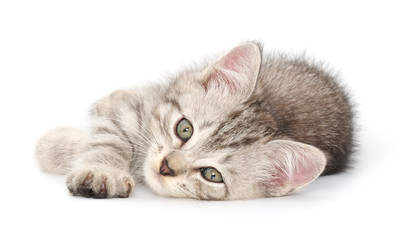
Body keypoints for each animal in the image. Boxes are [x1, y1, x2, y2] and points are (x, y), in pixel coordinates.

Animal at [36, 42, 356, 200]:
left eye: (212, 175)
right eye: (184, 129)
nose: (166, 167)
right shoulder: (135, 112)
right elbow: (111, 137)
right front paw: (100, 171)